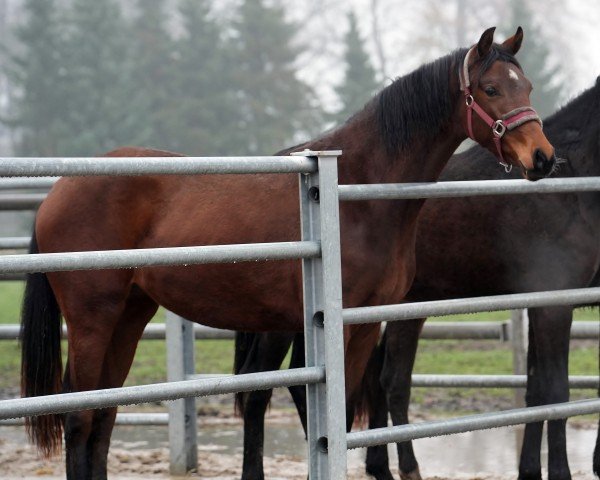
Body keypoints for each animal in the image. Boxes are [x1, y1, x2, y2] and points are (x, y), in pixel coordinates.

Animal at [19, 28, 552, 478]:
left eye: (525, 85)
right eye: (491, 89)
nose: (542, 158)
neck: (356, 188)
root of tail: (58, 191)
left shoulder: (362, 324)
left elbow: (336, 410)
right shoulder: (333, 324)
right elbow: (324, 413)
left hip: (130, 314)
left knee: (105, 413)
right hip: (92, 318)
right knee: (78, 416)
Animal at [364, 76, 600, 480]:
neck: (573, 179)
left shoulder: (537, 303)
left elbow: (536, 391)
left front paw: (529, 471)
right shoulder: (555, 304)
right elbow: (557, 393)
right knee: (392, 381)